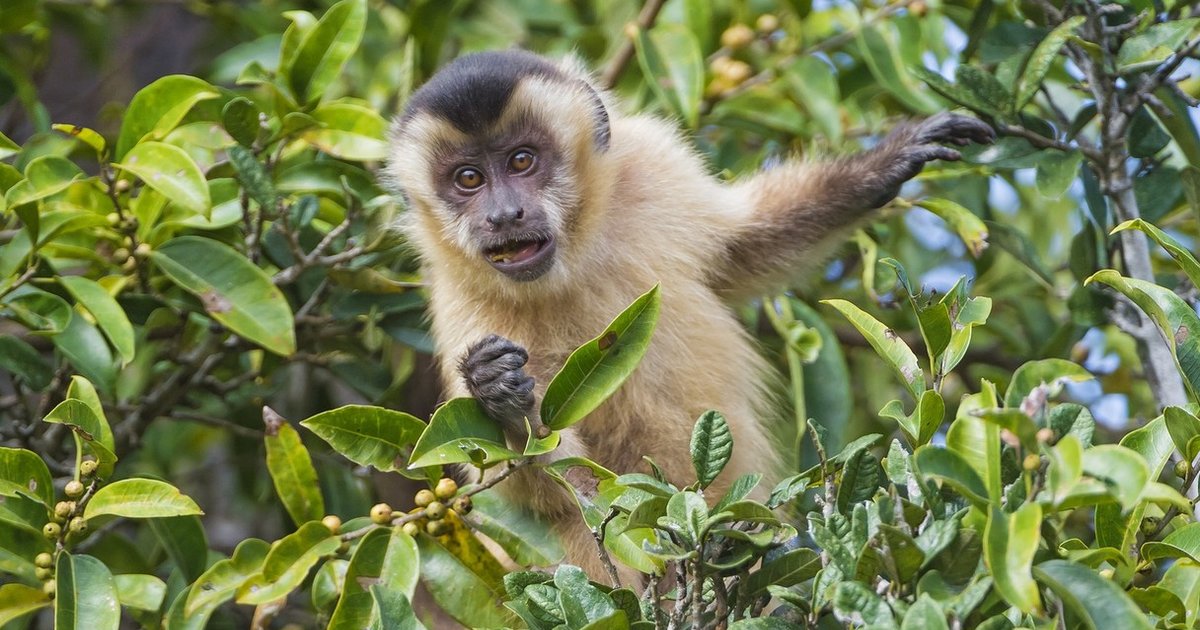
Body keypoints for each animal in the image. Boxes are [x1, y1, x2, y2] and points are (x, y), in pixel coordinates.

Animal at [384, 49, 994, 580]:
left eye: (521, 161)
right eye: (468, 179)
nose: (503, 214)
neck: (573, 260)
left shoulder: (654, 167)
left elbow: (741, 249)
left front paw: (882, 166)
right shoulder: (459, 300)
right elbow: (532, 491)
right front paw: (502, 398)